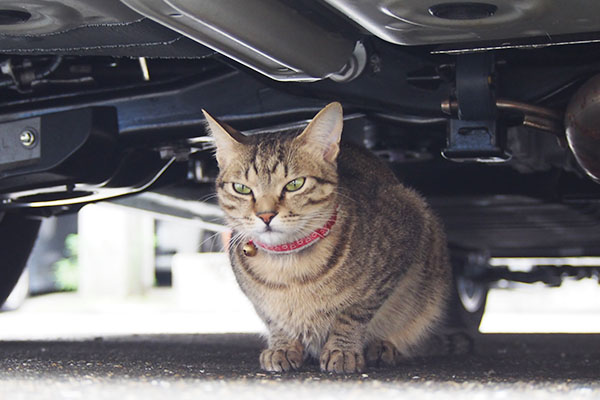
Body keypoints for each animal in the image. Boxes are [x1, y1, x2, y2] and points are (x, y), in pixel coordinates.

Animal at [203, 101, 450, 374]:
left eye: (295, 184)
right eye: (242, 189)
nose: (265, 215)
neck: (287, 265)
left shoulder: (400, 244)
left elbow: (353, 313)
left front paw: (342, 349)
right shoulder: (260, 303)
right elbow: (275, 319)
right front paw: (283, 345)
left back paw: (383, 347)